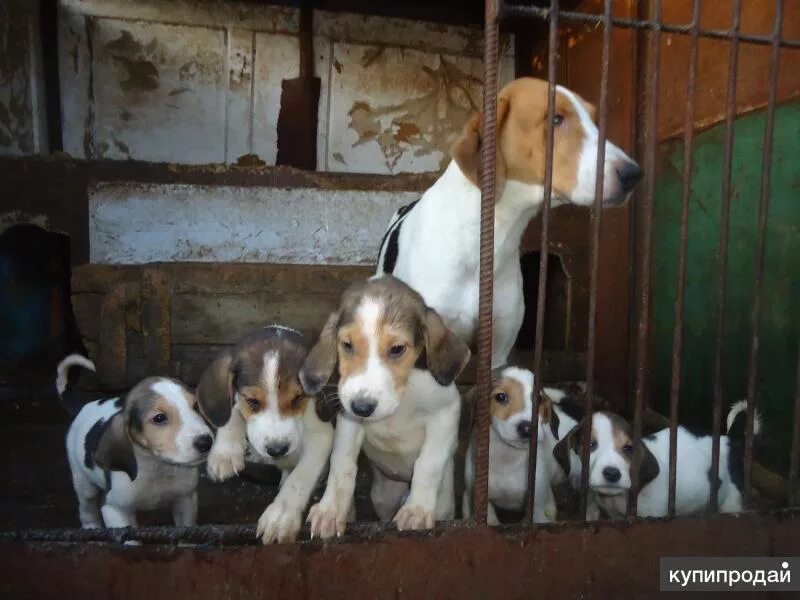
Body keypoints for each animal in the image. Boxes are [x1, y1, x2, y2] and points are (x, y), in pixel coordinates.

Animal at [56, 354, 212, 528]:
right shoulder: (114, 509)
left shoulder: (186, 500)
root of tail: (84, 406)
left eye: (196, 406)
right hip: (83, 482)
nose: (206, 443)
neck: (157, 467)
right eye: (159, 418)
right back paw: (91, 527)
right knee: (86, 509)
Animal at [197, 326, 334, 548]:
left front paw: (281, 516)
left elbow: (300, 477)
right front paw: (225, 453)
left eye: (298, 398)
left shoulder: (322, 435)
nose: (277, 449)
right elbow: (232, 410)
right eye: (252, 401)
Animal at [304, 274, 472, 536]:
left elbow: (428, 464)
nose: (362, 407)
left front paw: (416, 510)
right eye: (347, 344)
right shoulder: (349, 419)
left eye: (397, 349)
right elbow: (342, 464)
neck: (400, 401)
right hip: (383, 497)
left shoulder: (446, 412)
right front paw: (330, 510)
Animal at [552, 404, 760, 520]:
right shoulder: (594, 508)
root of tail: (732, 440)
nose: (612, 473)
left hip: (732, 503)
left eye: (629, 449)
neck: (615, 497)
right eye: (591, 444)